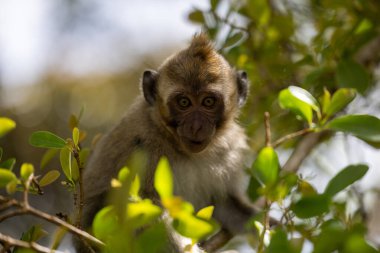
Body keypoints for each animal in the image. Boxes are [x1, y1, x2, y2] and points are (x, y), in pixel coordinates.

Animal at [75, 33, 255, 253]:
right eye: (184, 102)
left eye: (208, 102)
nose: (196, 126)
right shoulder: (144, 149)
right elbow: (147, 205)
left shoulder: (230, 150)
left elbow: (226, 204)